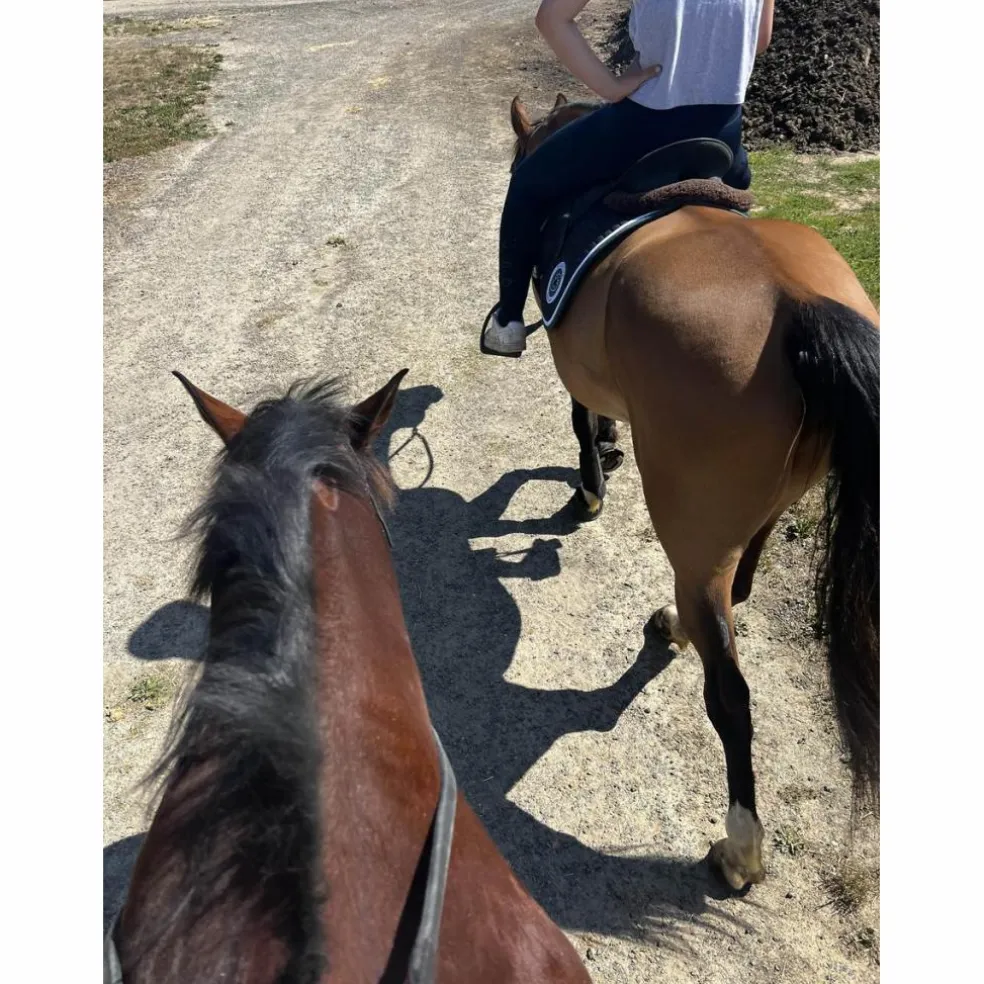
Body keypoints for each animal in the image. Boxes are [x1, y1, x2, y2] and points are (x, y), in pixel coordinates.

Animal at [505, 94, 879, 891]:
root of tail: (798, 304)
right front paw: (606, 461)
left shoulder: (571, 362)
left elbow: (580, 417)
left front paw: (591, 486)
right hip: (761, 509)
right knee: (735, 593)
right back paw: (674, 625)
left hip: (691, 527)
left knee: (730, 691)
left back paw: (739, 849)